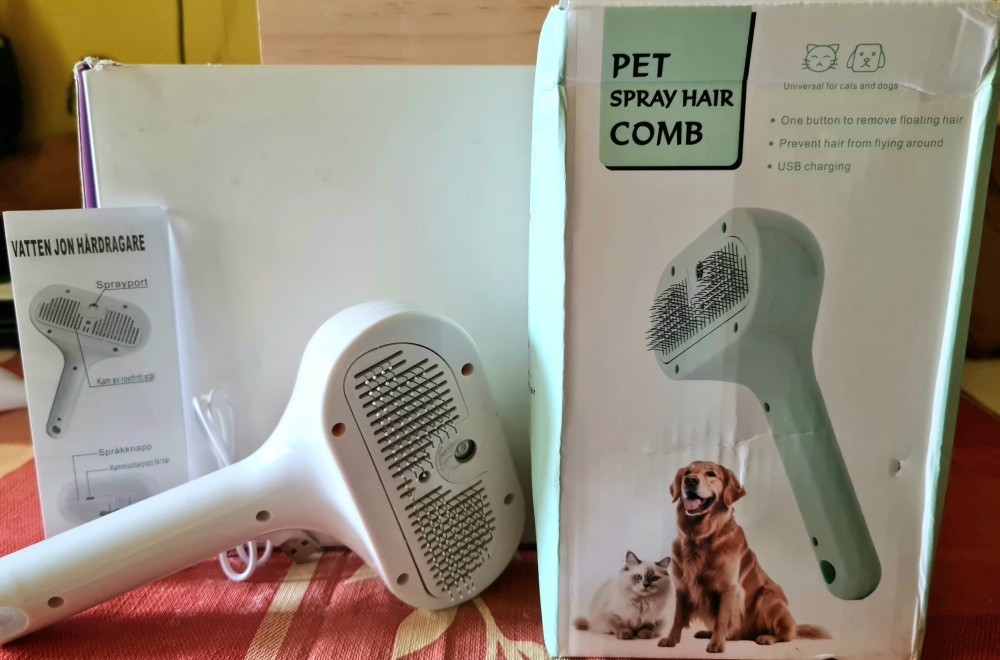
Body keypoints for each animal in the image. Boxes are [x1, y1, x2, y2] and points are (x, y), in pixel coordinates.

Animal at [658, 461, 829, 653]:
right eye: (687, 472)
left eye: (711, 474)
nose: (690, 480)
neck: (701, 537)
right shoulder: (683, 587)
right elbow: (678, 618)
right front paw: (671, 639)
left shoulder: (728, 588)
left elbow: (721, 619)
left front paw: (716, 644)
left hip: (769, 598)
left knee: (785, 634)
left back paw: (767, 637)